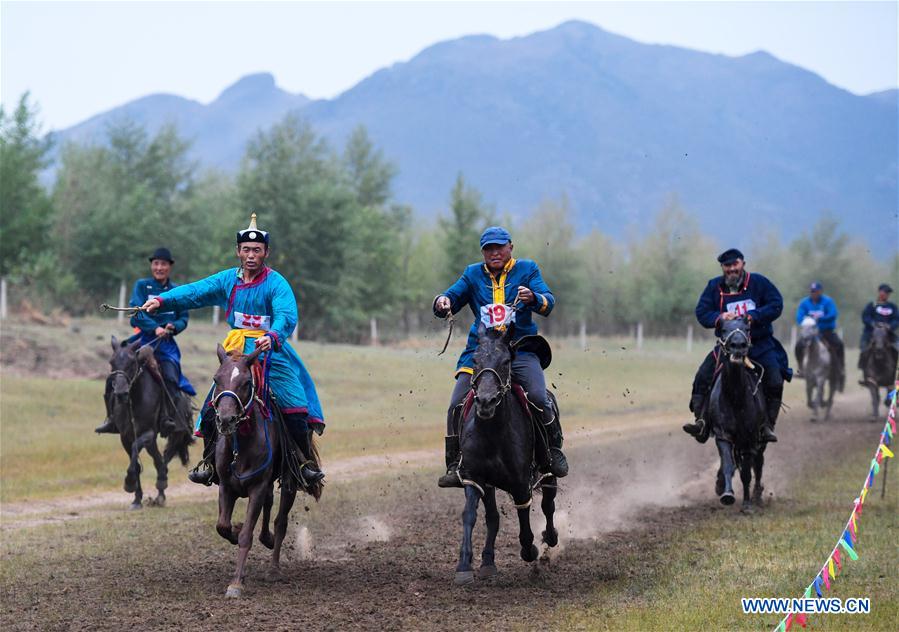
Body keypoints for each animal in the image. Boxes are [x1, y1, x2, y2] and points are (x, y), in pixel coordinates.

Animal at [211, 344, 324, 600]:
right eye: (216, 379)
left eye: (245, 382)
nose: (225, 420)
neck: (241, 444)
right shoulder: (226, 486)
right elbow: (223, 526)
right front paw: (235, 531)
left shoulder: (257, 487)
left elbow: (247, 535)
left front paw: (236, 584)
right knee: (269, 507)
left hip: (289, 481)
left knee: (280, 522)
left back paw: (273, 569)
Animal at [454, 324, 560, 584]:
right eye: (475, 360)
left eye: (505, 362)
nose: (486, 401)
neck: (493, 433)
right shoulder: (475, 478)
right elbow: (470, 515)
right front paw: (464, 566)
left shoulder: (521, 483)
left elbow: (525, 520)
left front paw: (530, 550)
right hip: (490, 485)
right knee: (493, 517)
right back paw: (488, 562)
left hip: (549, 474)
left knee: (548, 505)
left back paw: (550, 537)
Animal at [712, 318, 768, 512]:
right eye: (723, 329)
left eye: (747, 328)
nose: (738, 346)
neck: (735, 398)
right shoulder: (723, 435)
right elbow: (728, 465)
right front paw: (727, 494)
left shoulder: (750, 439)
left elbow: (746, 473)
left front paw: (747, 504)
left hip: (760, 440)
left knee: (758, 463)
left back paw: (757, 494)